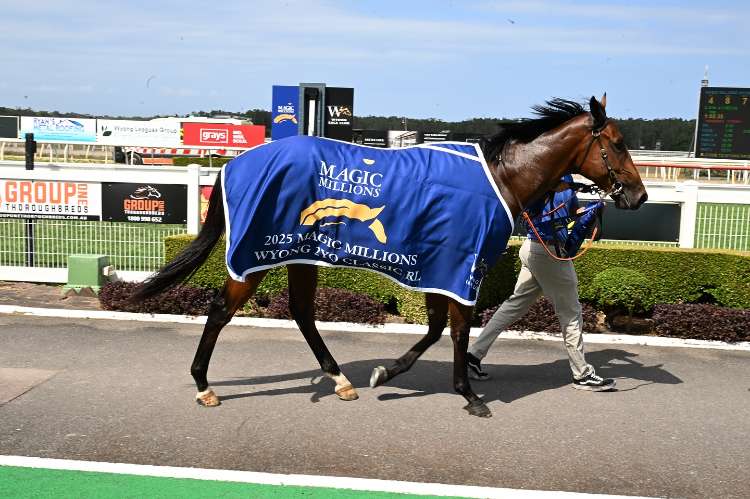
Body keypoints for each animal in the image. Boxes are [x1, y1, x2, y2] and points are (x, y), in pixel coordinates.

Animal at [132, 95, 647, 418]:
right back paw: (204, 385)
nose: (639, 196)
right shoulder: (459, 265)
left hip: (301, 254)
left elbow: (438, 328)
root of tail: (235, 164)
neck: (500, 178)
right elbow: (457, 330)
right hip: (258, 255)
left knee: (301, 312)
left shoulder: (438, 266)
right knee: (221, 310)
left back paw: (341, 380)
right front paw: (469, 394)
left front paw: (388, 371)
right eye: (618, 144)